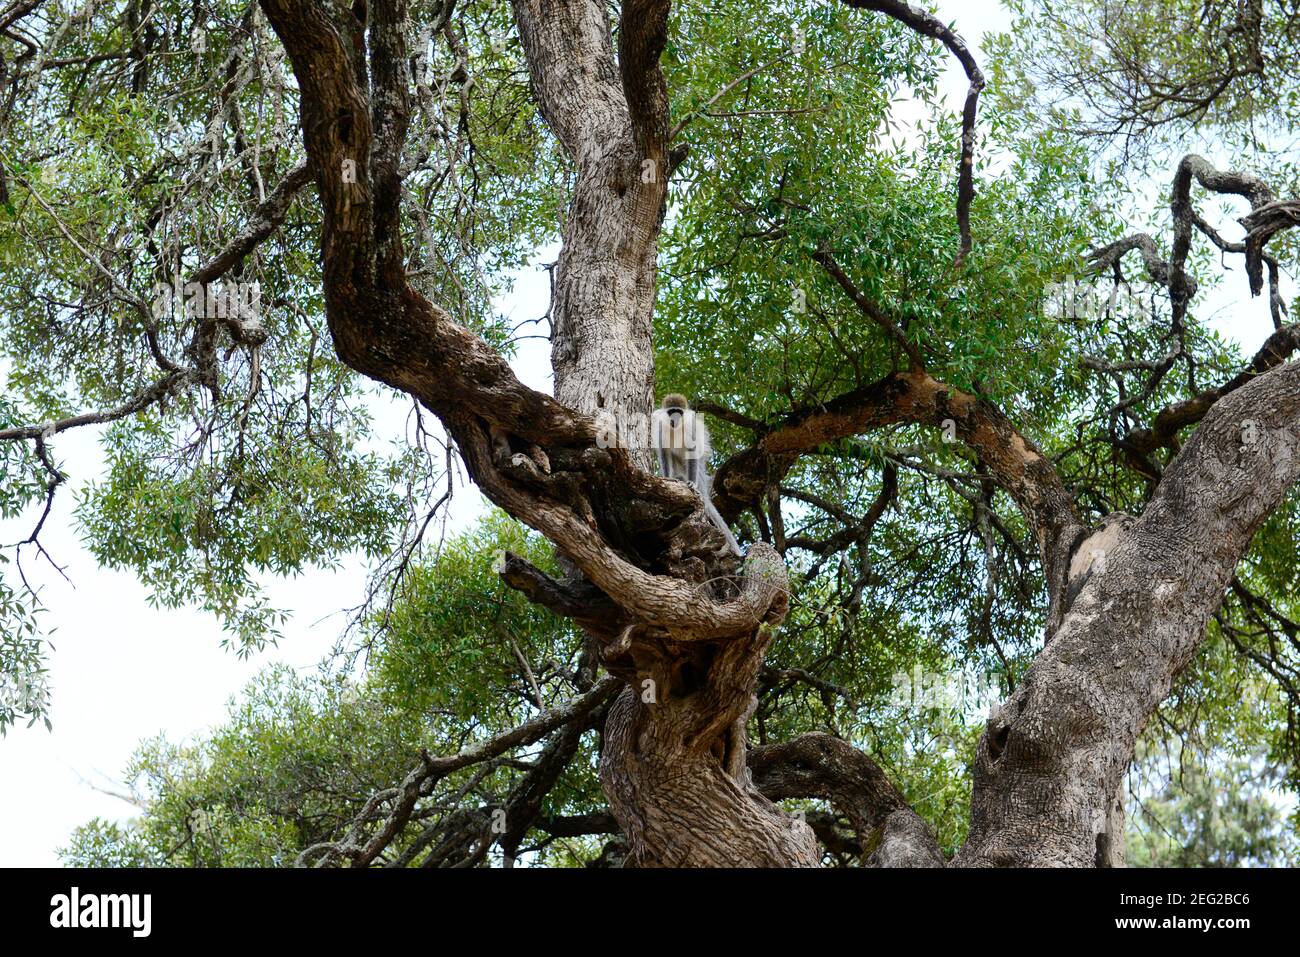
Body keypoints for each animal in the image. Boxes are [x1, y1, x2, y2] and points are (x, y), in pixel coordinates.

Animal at [651, 393, 744, 557]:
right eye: (671, 412)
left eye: (679, 412)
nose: (675, 418)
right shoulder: (661, 427)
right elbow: (664, 453)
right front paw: (668, 478)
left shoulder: (690, 429)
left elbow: (692, 450)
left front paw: (692, 483)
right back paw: (678, 478)